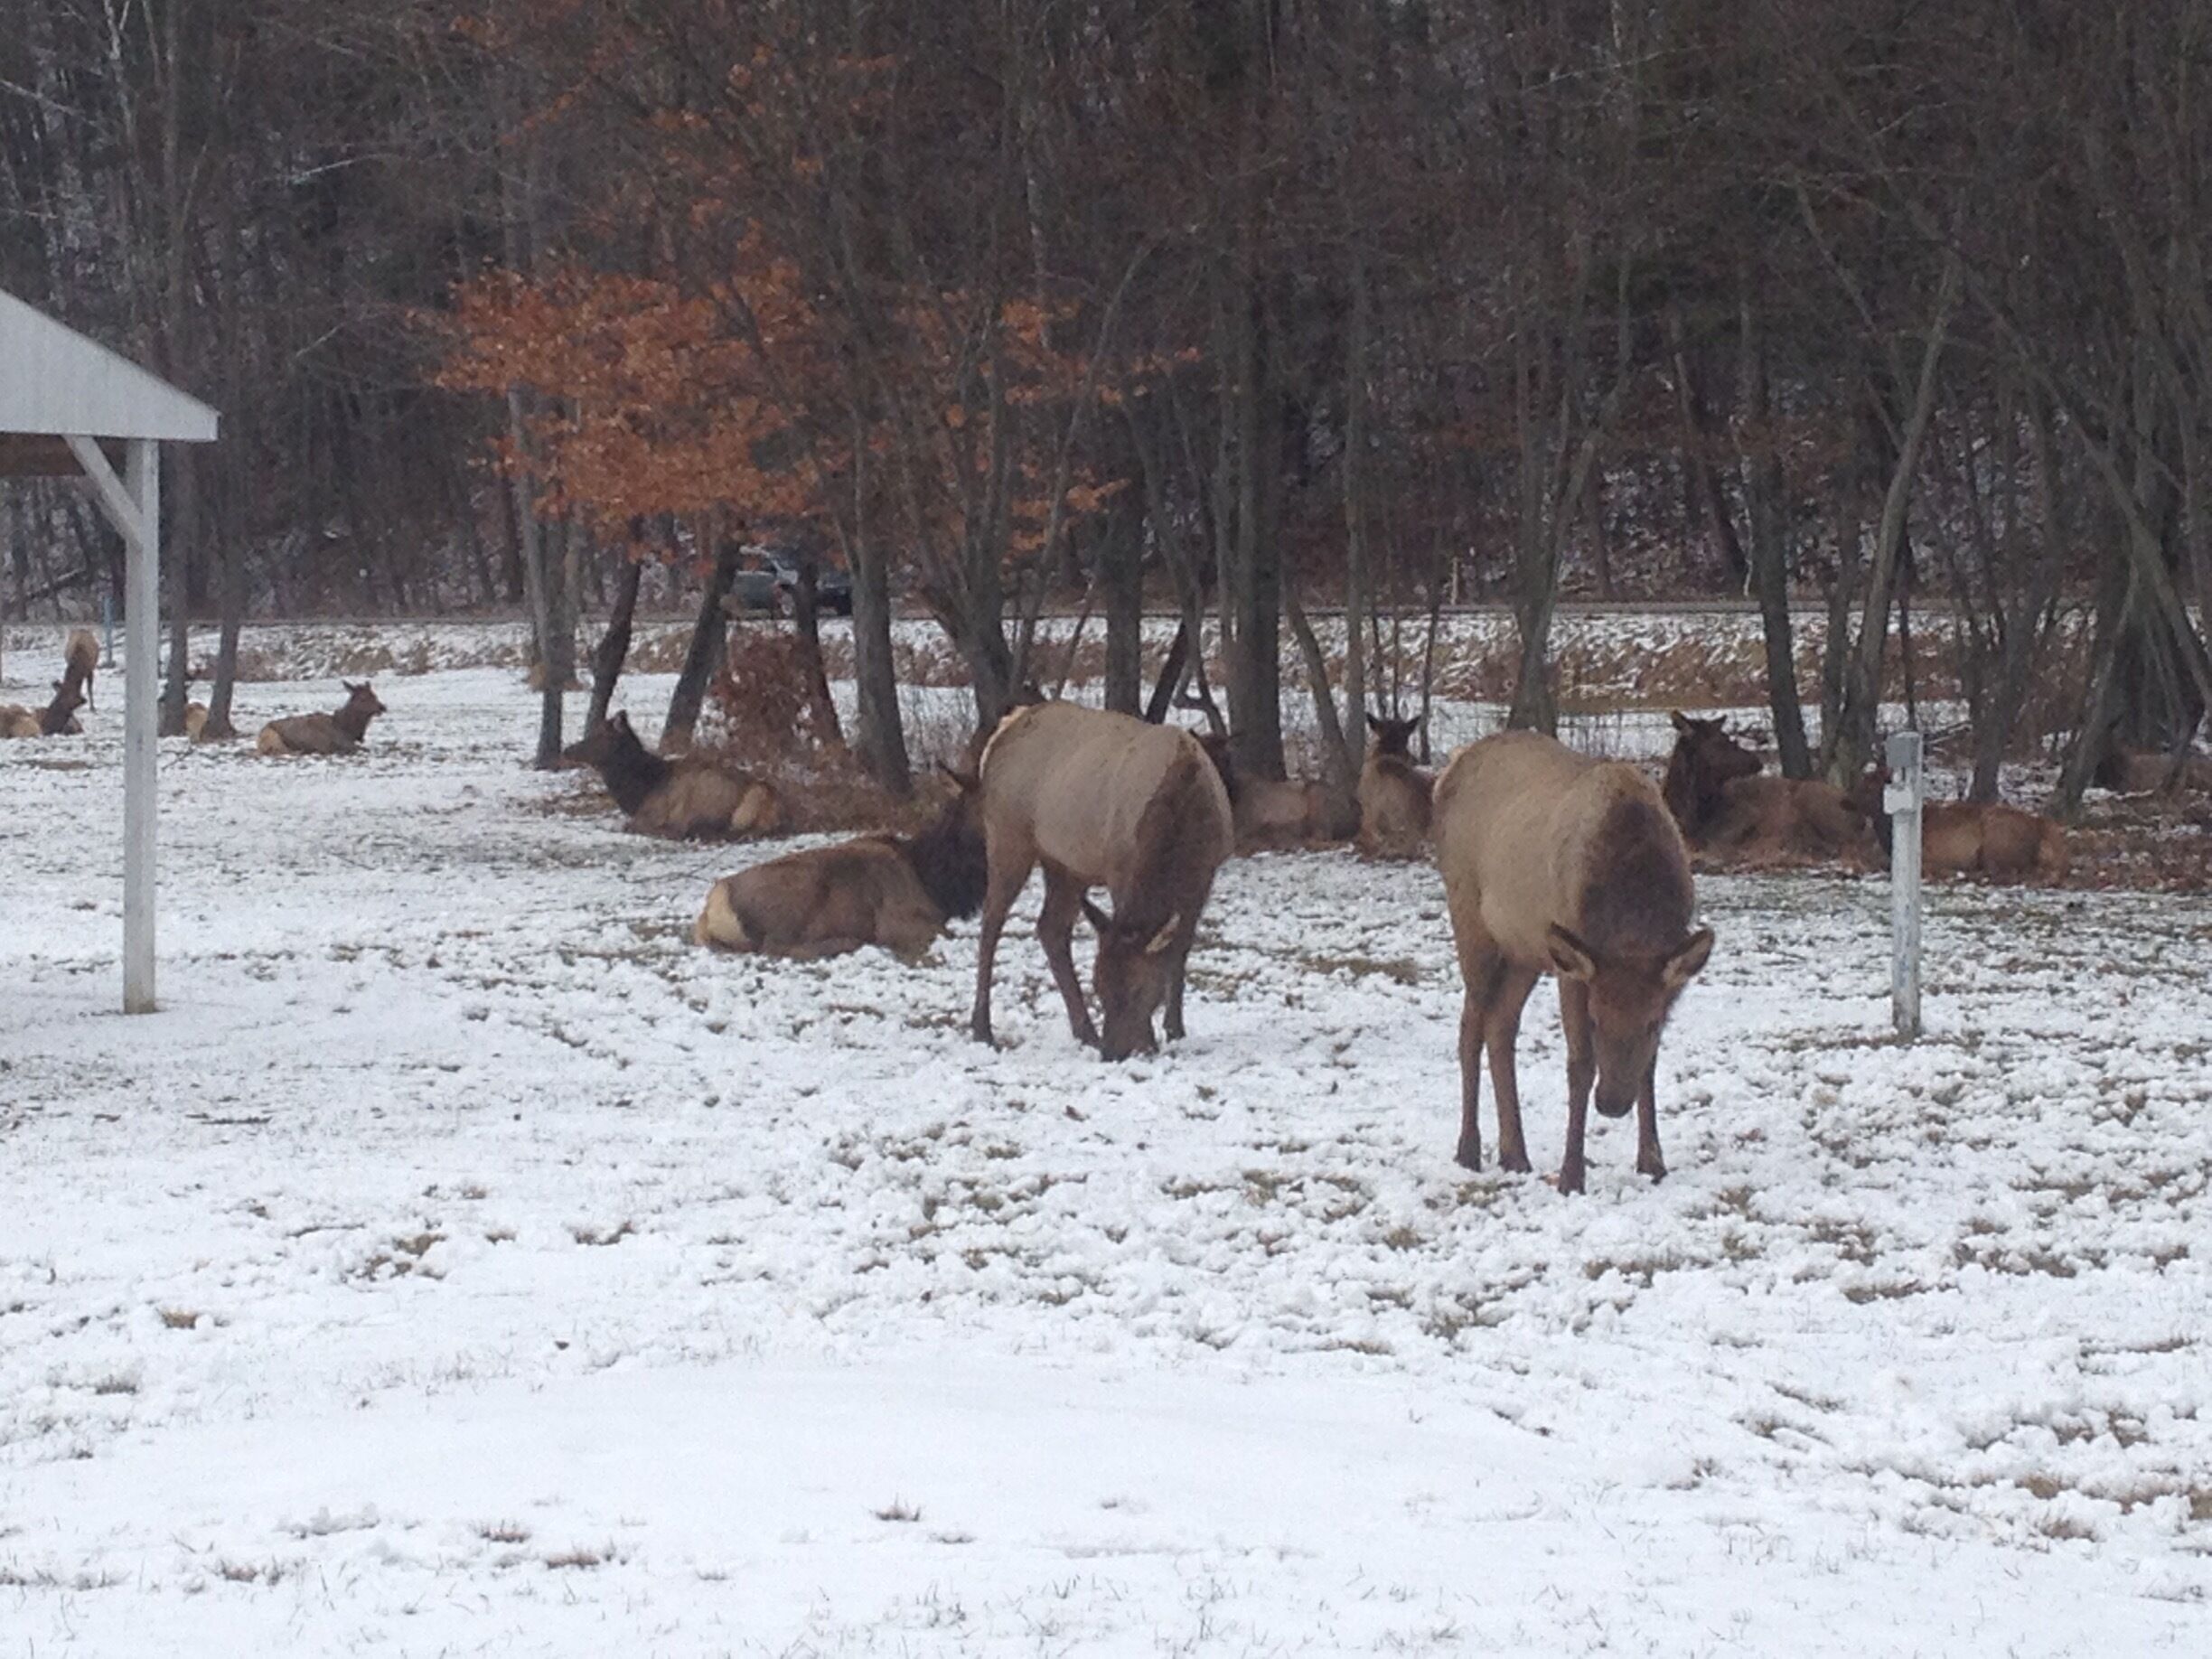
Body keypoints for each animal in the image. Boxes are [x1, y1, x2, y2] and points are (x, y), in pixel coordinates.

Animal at [563, 710, 783, 840]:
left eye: (598, 736)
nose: (567, 750)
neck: (638, 794)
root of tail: (771, 798)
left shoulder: (653, 813)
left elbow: (629, 825)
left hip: (709, 798)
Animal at [971, 701, 1235, 1060]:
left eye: (1138, 989)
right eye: (1098, 985)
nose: (1113, 1052)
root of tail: (1004, 729)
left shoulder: (1205, 874)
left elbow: (1179, 952)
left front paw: (1175, 1030)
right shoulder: (1119, 869)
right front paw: (1151, 1040)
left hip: (1065, 863)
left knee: (1050, 928)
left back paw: (1085, 1032)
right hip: (1007, 835)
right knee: (990, 924)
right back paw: (982, 1029)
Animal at [1435, 731, 1714, 1196]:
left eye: (1652, 1023)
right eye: (1596, 1020)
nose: (1613, 1104)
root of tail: (1448, 770)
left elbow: (1650, 1065)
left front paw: (1653, 1163)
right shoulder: (1573, 970)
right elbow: (1579, 1066)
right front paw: (1571, 1176)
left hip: (1524, 948)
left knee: (1499, 1025)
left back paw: (1514, 1153)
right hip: (1470, 918)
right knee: (1469, 1029)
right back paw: (1469, 1150)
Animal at [1662, 712, 1874, 865]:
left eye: (1727, 738)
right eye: (1719, 742)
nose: (1756, 761)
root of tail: (1861, 814)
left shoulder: (1744, 819)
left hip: (1815, 803)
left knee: (1851, 844)